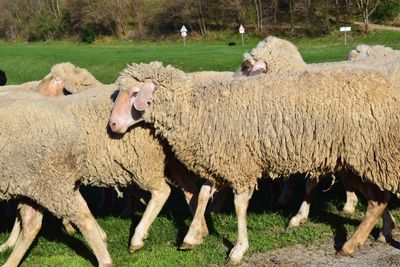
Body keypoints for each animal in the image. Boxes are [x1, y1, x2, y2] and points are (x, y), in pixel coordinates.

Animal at [0, 82, 206, 266]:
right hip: (169, 158)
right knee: (189, 189)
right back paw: (198, 232)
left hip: (142, 160)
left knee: (163, 191)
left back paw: (136, 239)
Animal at [110, 61, 400, 264]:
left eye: (135, 93)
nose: (112, 125)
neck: (197, 110)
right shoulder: (219, 162)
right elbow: (202, 196)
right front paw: (191, 237)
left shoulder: (240, 164)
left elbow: (239, 207)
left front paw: (238, 250)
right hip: (362, 160)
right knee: (379, 200)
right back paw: (365, 239)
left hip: (370, 155)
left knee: (380, 198)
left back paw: (357, 241)